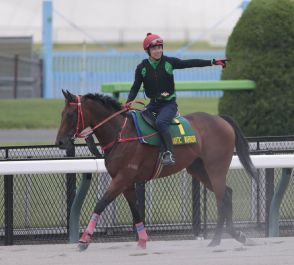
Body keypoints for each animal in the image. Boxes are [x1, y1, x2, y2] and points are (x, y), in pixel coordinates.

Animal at [55, 89, 258, 249]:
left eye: (70, 114)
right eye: (62, 113)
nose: (60, 142)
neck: (121, 134)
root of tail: (220, 119)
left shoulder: (122, 178)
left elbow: (101, 203)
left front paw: (84, 240)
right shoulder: (126, 182)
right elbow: (135, 210)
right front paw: (142, 240)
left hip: (216, 168)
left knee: (222, 198)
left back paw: (216, 240)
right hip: (198, 169)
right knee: (228, 193)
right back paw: (236, 235)